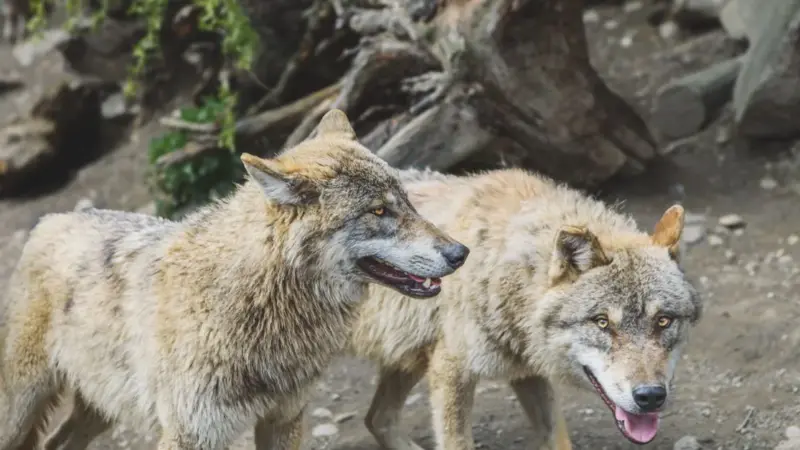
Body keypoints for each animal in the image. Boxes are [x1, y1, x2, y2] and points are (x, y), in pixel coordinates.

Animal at [0, 109, 470, 450]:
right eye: (378, 211)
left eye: (407, 202)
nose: (460, 253)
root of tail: (52, 218)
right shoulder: (190, 434)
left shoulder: (284, 419)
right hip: (22, 407)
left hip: (100, 409)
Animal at [348, 168, 703, 449]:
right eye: (602, 322)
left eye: (664, 321)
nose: (650, 396)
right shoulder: (451, 372)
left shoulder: (527, 372)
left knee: (376, 419)